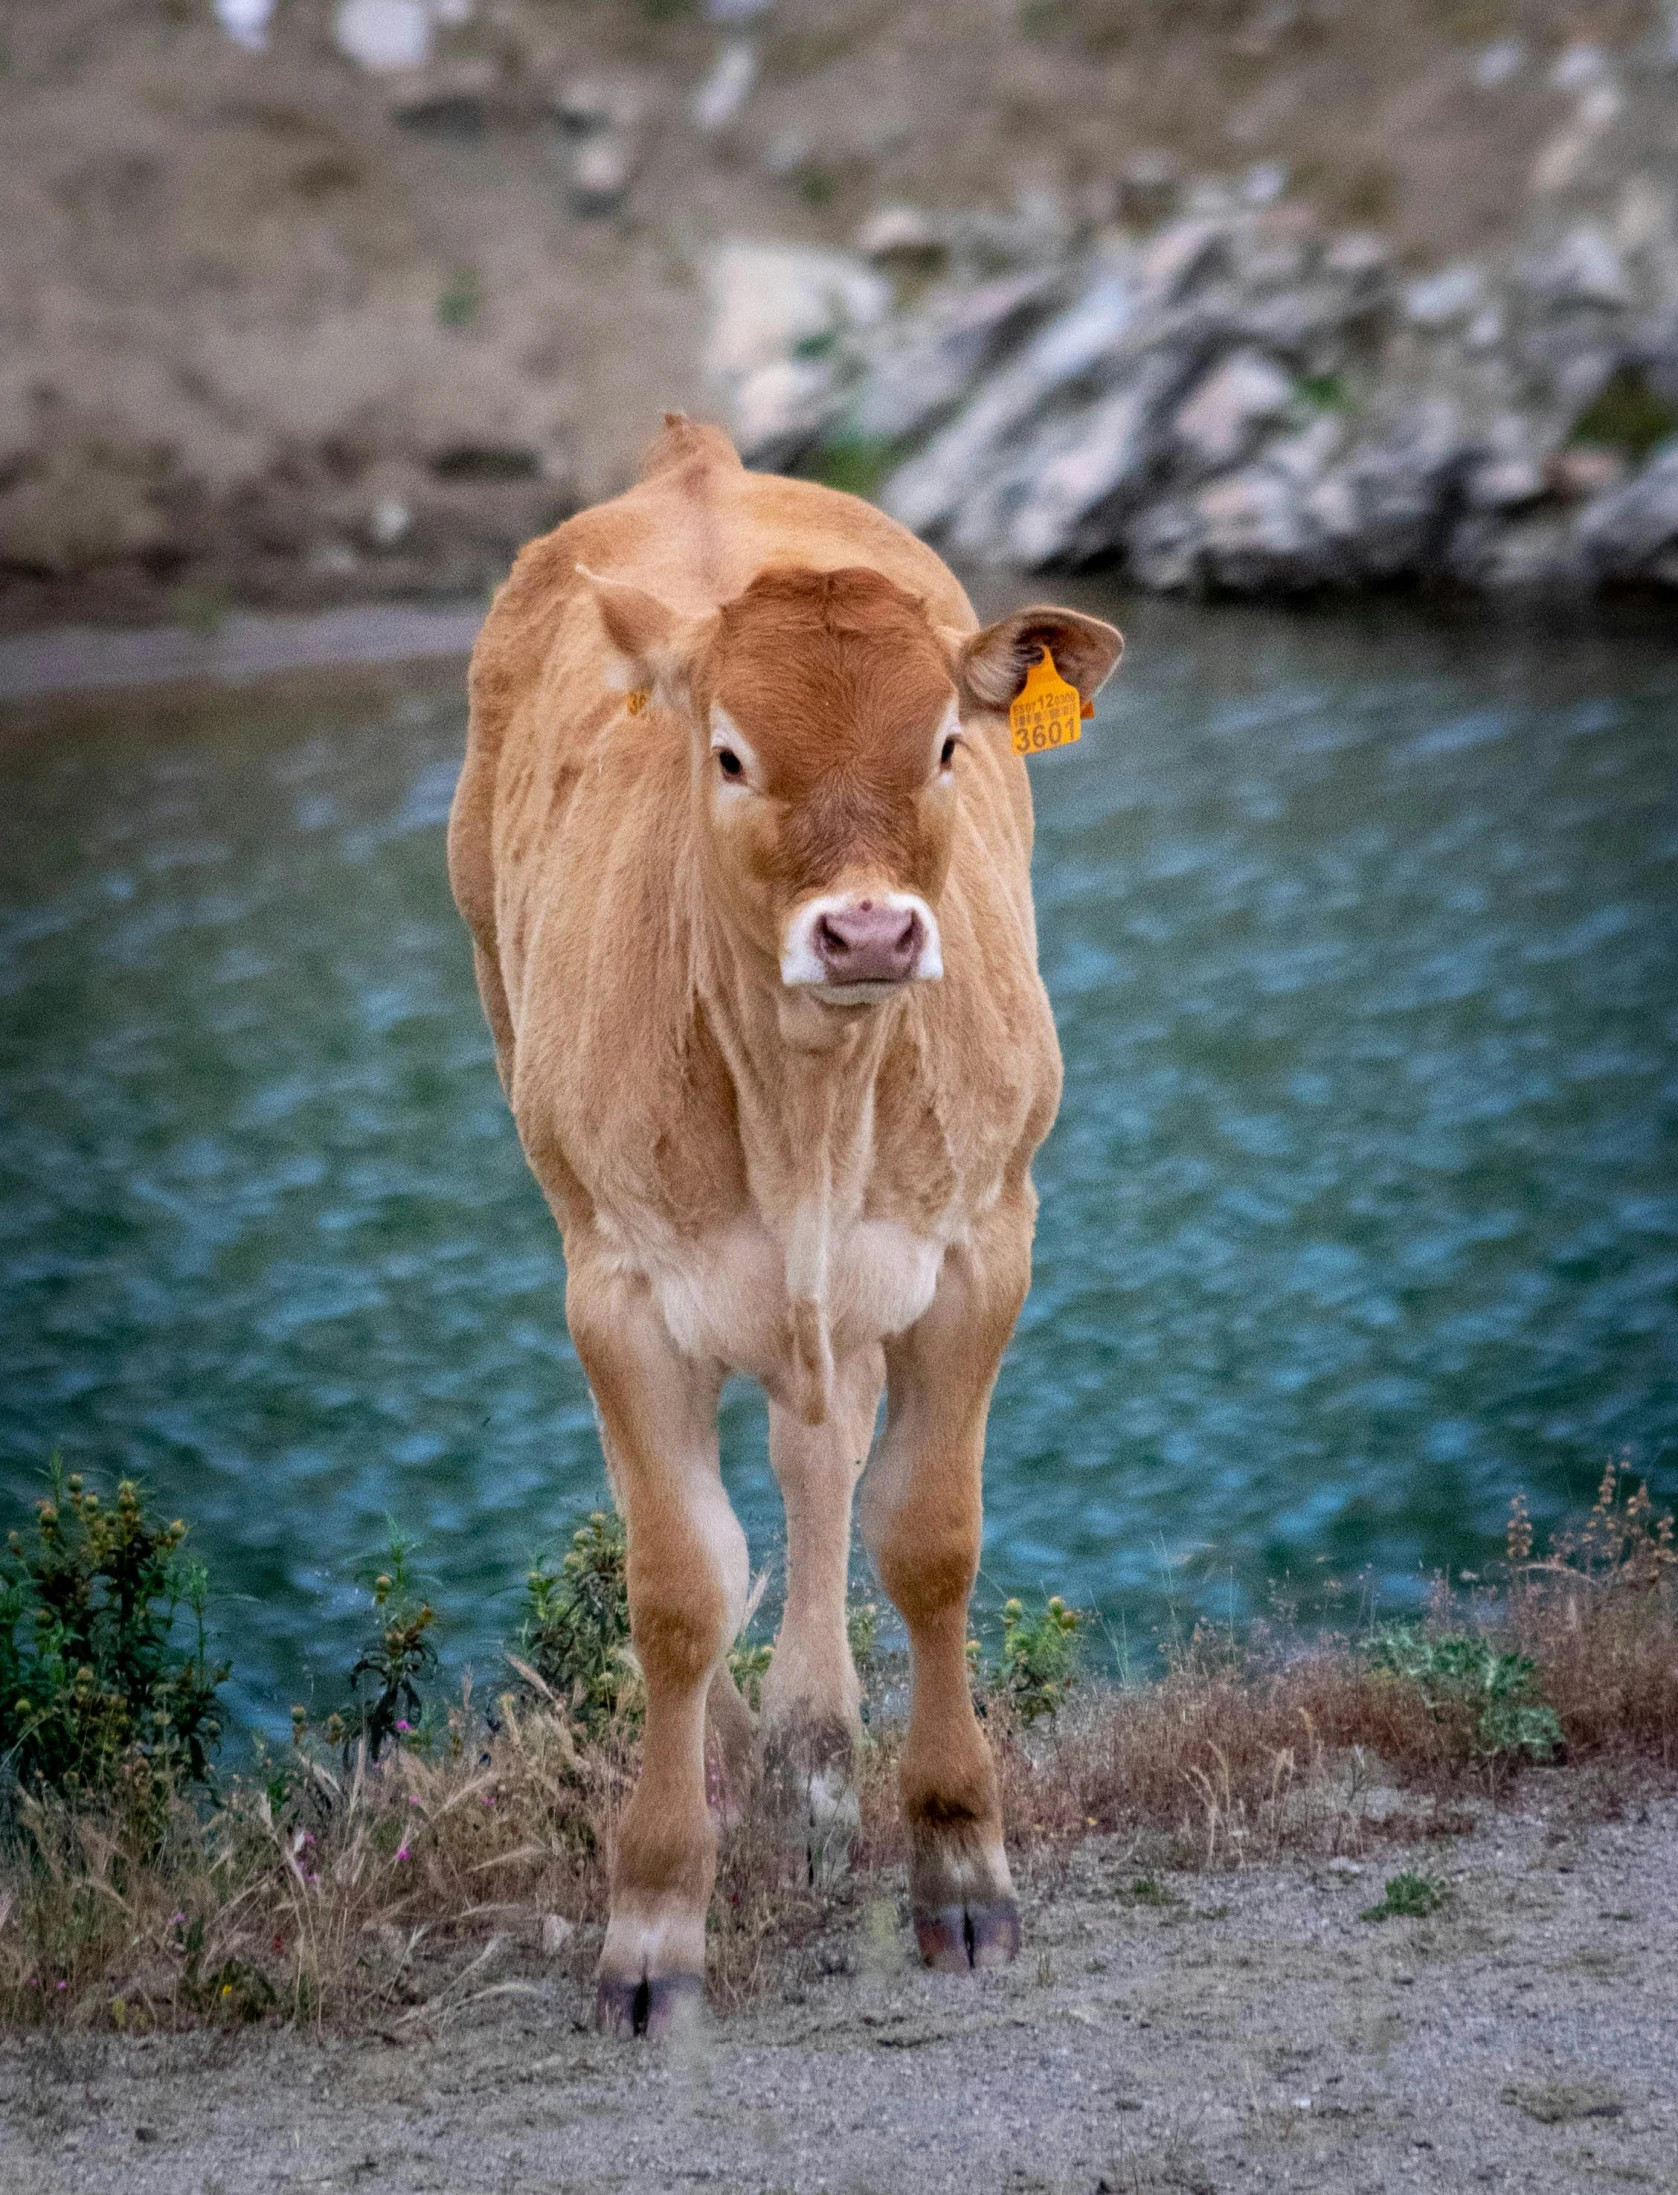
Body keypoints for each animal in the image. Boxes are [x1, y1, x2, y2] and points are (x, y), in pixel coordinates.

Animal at [452, 414, 1120, 2036]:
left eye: (944, 743)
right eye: (731, 753)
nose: (868, 928)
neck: (808, 1101)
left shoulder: (983, 1241)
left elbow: (928, 1538)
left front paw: (958, 1862)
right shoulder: (618, 1287)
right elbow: (677, 1587)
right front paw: (651, 1920)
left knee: (824, 1448)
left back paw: (818, 1756)